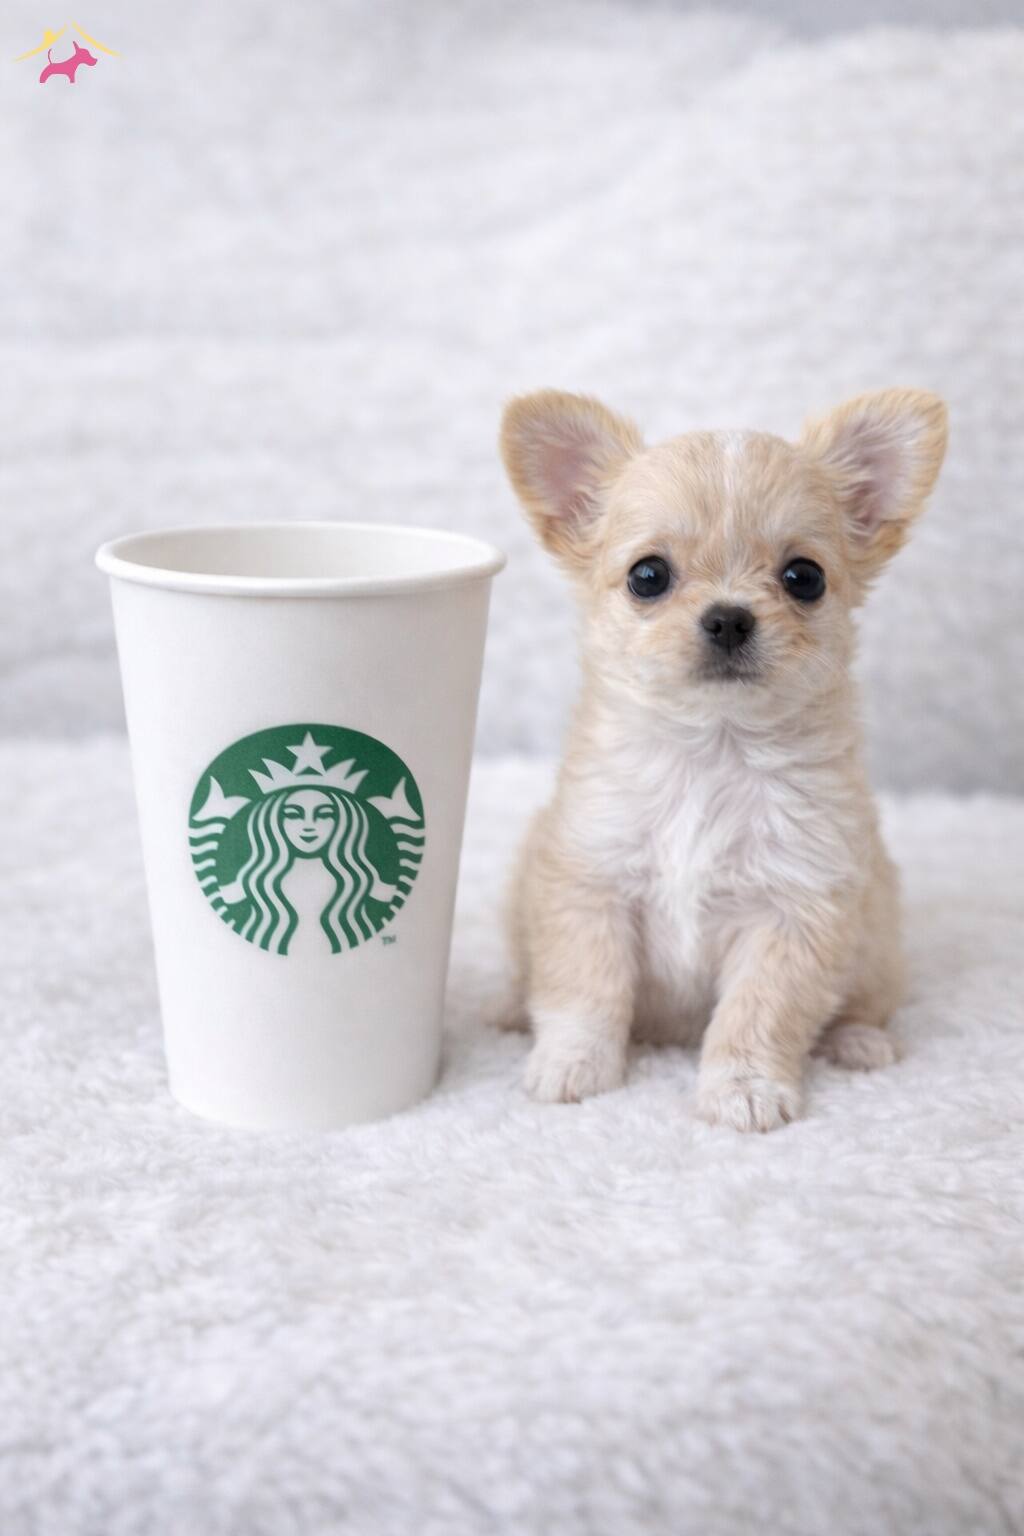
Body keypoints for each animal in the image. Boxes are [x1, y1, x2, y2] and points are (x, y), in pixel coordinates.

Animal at [499, 387, 947, 1131]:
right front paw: (572, 1064)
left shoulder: (796, 910)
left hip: (878, 952)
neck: (713, 750)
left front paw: (743, 1088)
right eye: (648, 576)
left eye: (804, 578)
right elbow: (585, 988)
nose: (730, 617)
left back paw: (859, 1042)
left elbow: (758, 1013)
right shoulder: (589, 883)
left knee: (865, 1007)